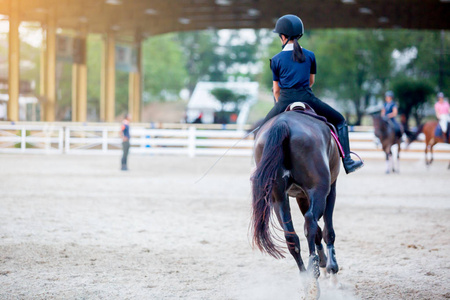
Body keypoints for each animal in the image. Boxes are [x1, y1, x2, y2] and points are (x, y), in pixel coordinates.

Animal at [251, 111, 340, 298]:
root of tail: (283, 123)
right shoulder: (331, 190)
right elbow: (327, 231)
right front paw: (332, 271)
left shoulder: (301, 196)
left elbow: (318, 233)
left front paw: (324, 263)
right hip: (319, 190)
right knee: (311, 222)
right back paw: (314, 273)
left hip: (278, 198)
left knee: (291, 237)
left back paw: (309, 282)